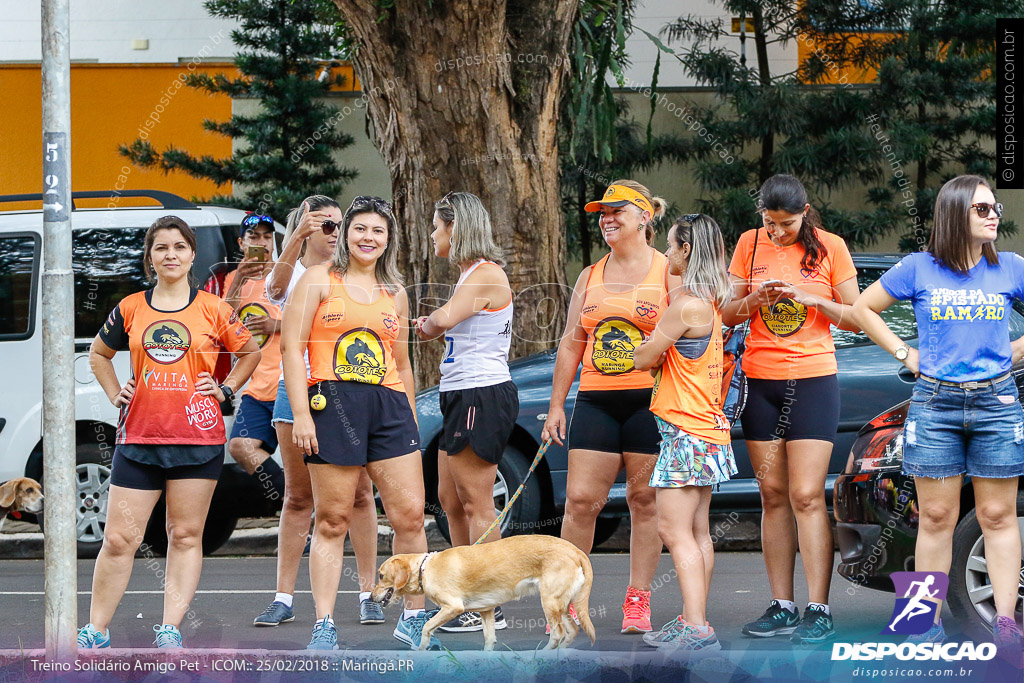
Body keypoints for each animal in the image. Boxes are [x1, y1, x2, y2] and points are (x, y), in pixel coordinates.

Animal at [372, 532, 598, 651]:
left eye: (381, 576)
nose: (372, 597)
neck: (425, 568)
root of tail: (575, 550)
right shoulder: (487, 611)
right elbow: (489, 640)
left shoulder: (452, 607)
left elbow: (427, 627)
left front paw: (421, 648)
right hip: (562, 605)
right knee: (571, 631)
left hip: (550, 603)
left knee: (558, 633)